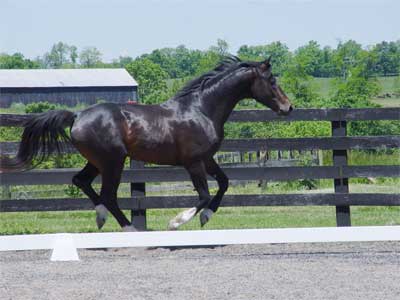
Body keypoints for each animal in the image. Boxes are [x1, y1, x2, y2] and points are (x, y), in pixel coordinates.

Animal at [1, 55, 292, 230]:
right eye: (271, 80)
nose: (288, 107)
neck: (201, 109)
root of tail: (77, 115)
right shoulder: (193, 163)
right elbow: (204, 195)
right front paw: (176, 222)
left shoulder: (208, 159)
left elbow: (224, 183)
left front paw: (206, 217)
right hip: (113, 161)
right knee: (108, 195)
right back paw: (129, 227)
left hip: (98, 161)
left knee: (82, 182)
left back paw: (101, 217)